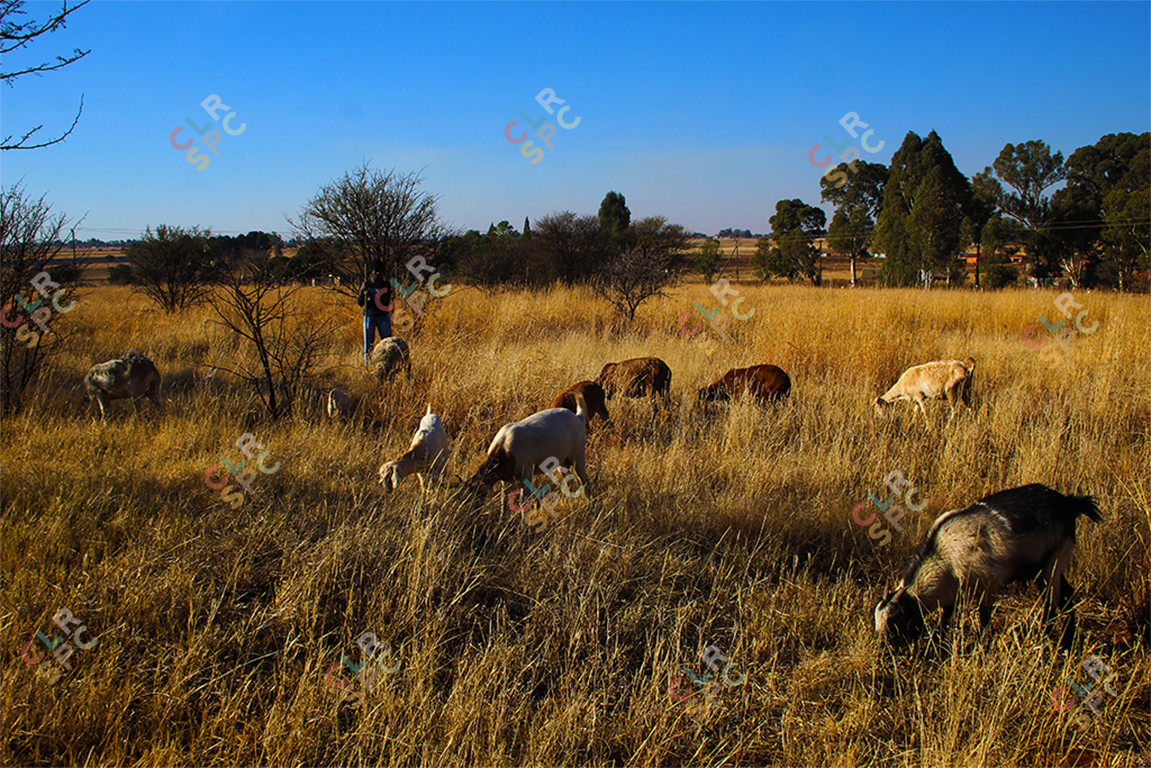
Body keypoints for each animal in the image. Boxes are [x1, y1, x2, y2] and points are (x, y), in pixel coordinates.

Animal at [874, 483, 1100, 650]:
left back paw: (1044, 636)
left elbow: (984, 618)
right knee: (1068, 595)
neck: (944, 555)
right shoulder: (951, 592)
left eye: (894, 624)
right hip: (1050, 566)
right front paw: (939, 641)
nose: (882, 650)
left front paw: (983, 645)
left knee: (1051, 604)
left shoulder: (987, 586)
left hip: (1051, 565)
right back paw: (1067, 642)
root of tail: (1069, 503)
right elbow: (946, 616)